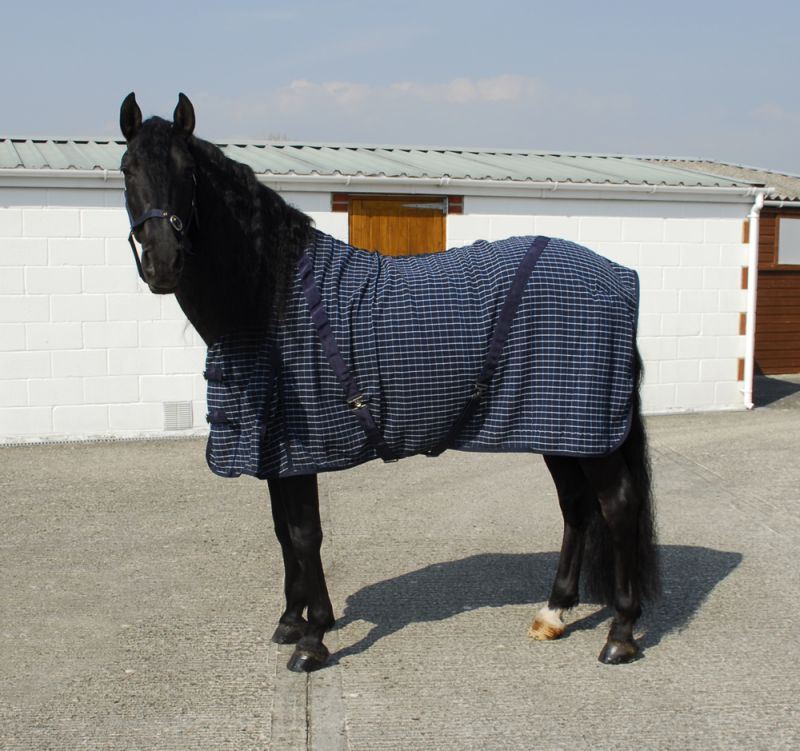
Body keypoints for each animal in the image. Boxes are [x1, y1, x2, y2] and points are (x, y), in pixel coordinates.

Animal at [119, 92, 659, 673]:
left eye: (188, 172)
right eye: (128, 169)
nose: (163, 263)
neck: (271, 298)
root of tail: (620, 280)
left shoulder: (298, 453)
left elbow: (305, 535)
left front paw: (314, 638)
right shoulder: (276, 456)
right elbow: (284, 533)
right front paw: (291, 621)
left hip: (587, 430)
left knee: (619, 505)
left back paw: (621, 634)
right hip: (560, 429)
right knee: (576, 507)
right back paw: (553, 613)